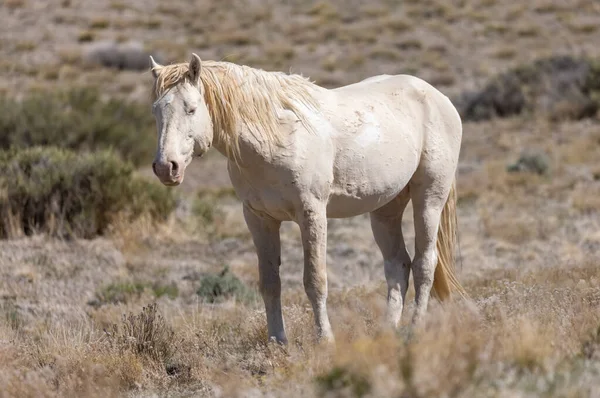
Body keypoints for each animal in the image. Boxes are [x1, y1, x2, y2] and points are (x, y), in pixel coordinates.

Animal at [148, 54, 466, 344]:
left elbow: (315, 280)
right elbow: (270, 283)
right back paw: (386, 333)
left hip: (429, 199)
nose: (166, 167)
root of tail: (439, 98)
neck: (276, 136)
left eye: (191, 109)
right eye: (156, 112)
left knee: (425, 263)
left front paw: (325, 340)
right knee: (398, 265)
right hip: (386, 208)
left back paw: (415, 330)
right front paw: (277, 342)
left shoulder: (311, 213)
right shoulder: (259, 218)